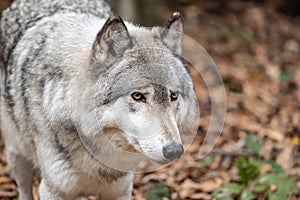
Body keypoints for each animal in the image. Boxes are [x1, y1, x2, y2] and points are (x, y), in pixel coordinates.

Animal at [0, 0, 197, 198]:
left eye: (173, 96)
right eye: (138, 96)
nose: (175, 151)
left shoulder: (121, 190)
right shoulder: (53, 190)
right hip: (16, 156)